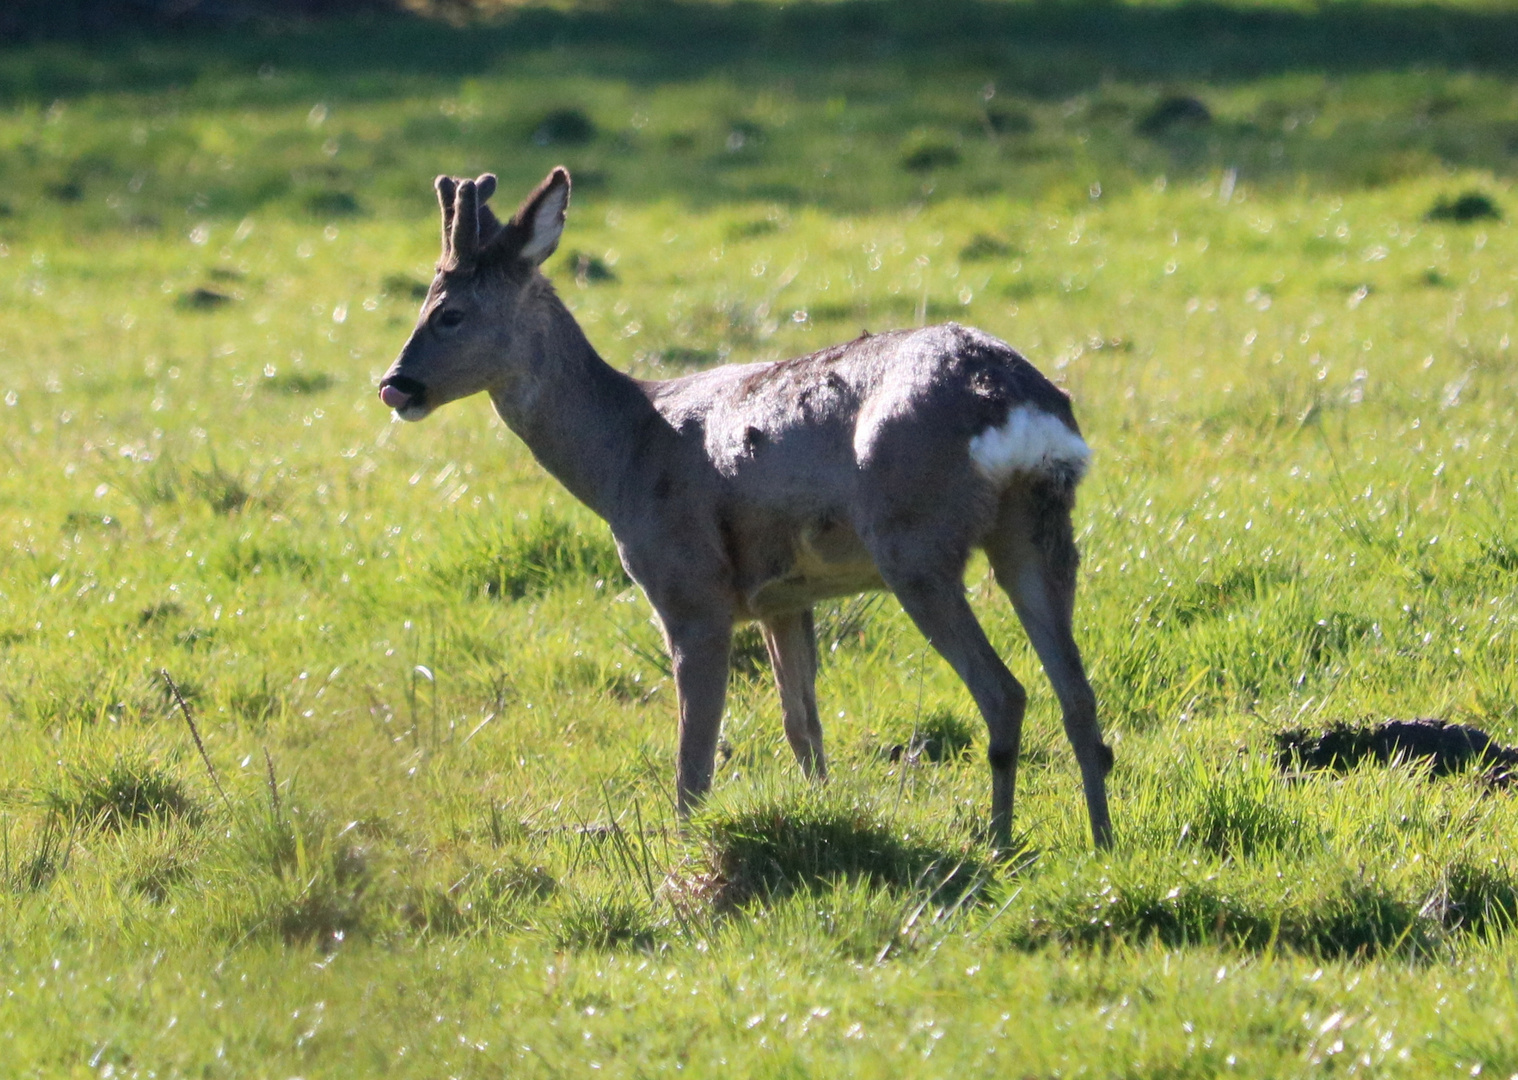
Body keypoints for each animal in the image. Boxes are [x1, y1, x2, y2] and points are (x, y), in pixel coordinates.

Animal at [382, 168, 1117, 850]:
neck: (623, 454)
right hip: (1037, 530)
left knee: (1005, 692)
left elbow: (694, 758)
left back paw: (999, 844)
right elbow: (803, 725)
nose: (395, 384)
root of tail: (1011, 398)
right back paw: (1102, 842)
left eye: (448, 313)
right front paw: (823, 813)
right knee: (1078, 695)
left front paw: (687, 861)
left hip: (914, 540)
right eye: (424, 304)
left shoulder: (690, 589)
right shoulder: (784, 597)